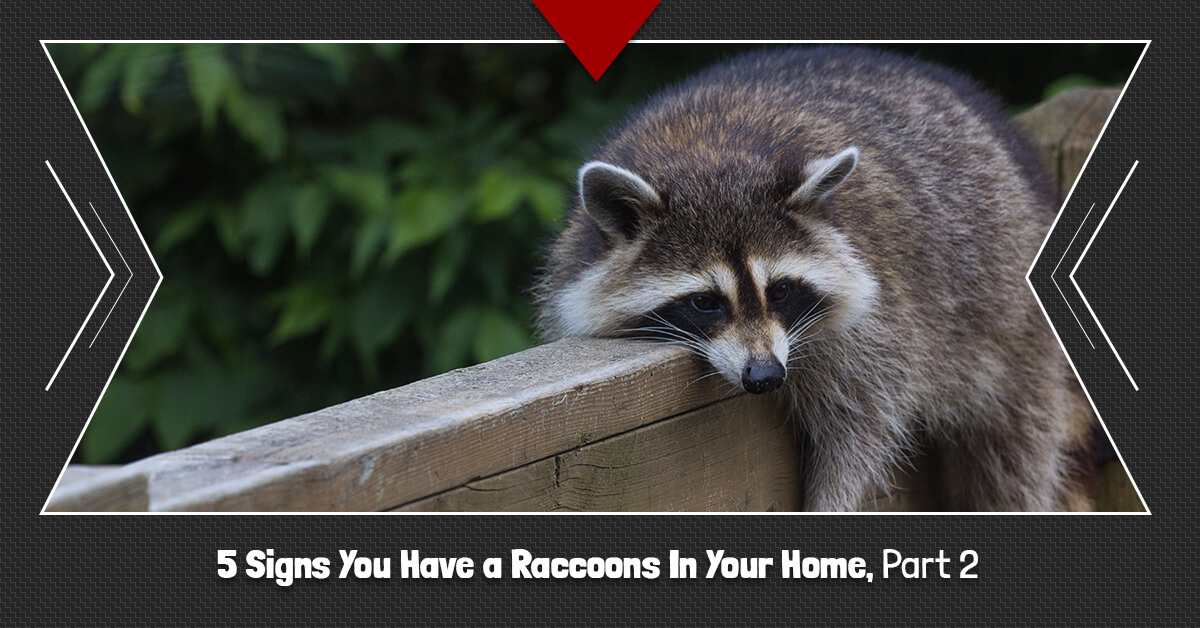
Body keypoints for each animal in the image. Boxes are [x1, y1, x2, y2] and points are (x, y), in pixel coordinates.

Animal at [534, 46, 1096, 512]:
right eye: (705, 302)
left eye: (780, 290)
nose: (764, 376)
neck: (708, 154)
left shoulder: (881, 322)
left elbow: (864, 422)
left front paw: (833, 499)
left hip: (1013, 322)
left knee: (1015, 454)